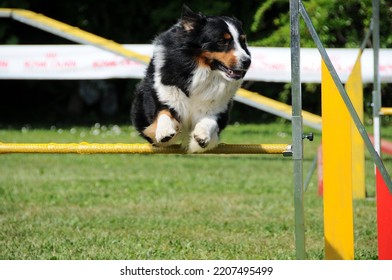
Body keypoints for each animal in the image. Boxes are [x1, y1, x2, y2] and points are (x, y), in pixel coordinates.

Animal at [131, 4, 251, 153]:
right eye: (222, 41)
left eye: (243, 41)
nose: (247, 61)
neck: (201, 71)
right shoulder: (164, 94)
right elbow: (163, 112)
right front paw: (164, 131)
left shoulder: (219, 106)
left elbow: (210, 120)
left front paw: (202, 135)